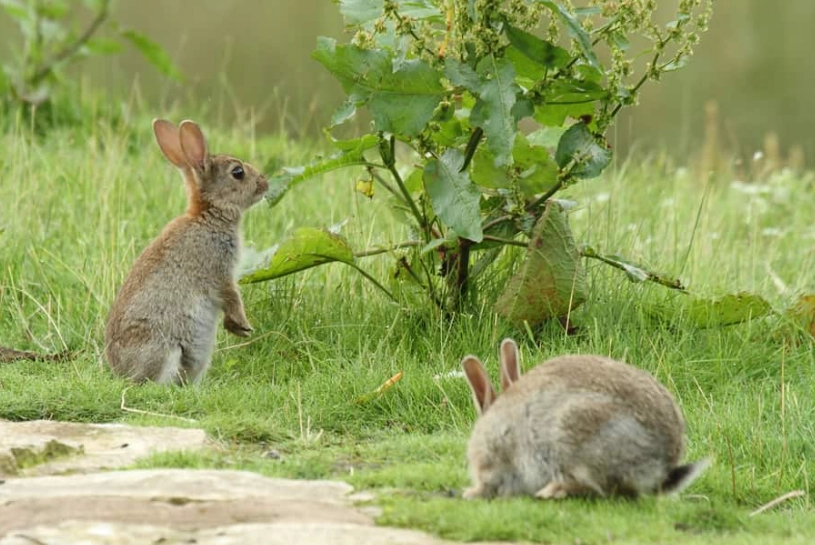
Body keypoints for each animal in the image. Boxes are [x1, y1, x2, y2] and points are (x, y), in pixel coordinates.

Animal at [104, 119, 269, 385]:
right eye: (238, 172)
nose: (265, 183)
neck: (208, 214)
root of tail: (121, 372)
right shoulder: (219, 271)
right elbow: (232, 297)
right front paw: (243, 326)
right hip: (164, 349)